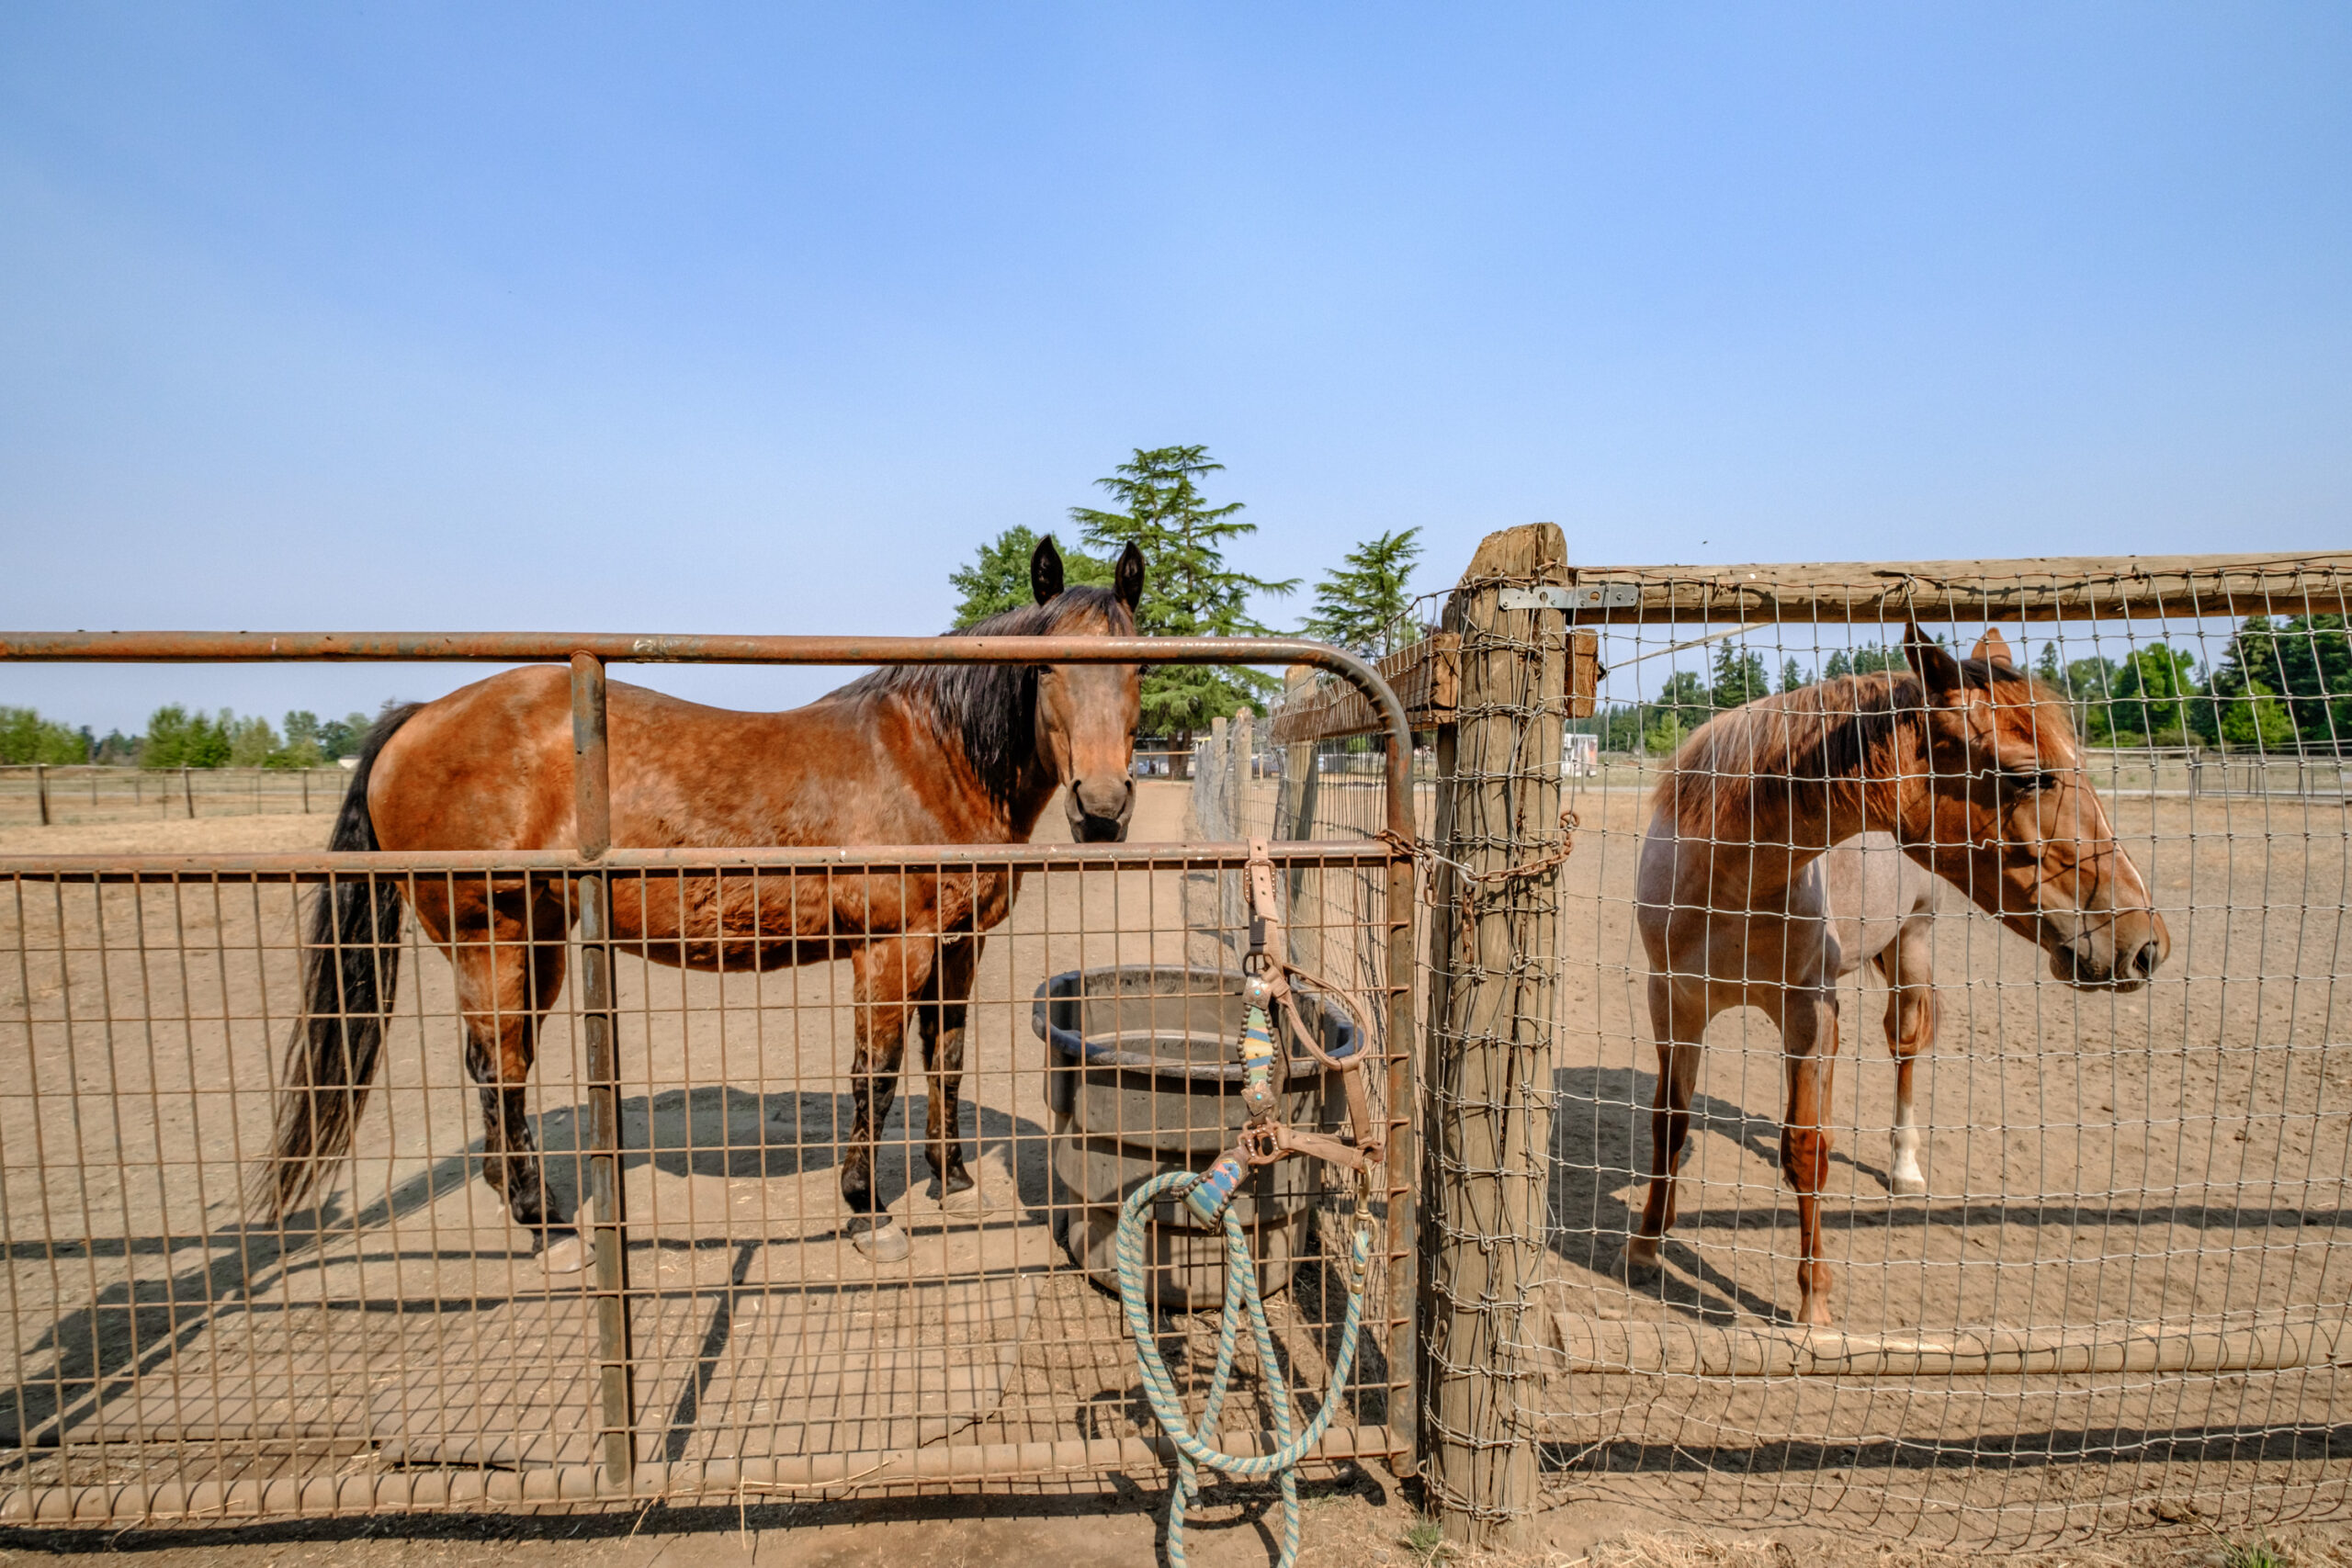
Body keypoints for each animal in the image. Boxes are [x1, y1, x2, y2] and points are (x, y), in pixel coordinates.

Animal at [254, 536, 1144, 1264]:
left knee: (500, 1065)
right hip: (492, 935)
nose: (1102, 807)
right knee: (497, 1067)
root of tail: (414, 719)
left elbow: (945, 1058)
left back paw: (523, 1200)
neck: (927, 755)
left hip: (537, 939)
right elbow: (877, 1075)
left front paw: (950, 1176)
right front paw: (868, 1212)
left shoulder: (959, 941)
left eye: (1138, 666)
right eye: (1049, 668)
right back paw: (548, 1225)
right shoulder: (892, 948)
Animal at [1625, 625, 2169, 1327]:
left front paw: (1814, 1302)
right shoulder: (1675, 1001)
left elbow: (1807, 1148)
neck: (1730, 881)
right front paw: (1646, 1242)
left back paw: (1905, 1167)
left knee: (1903, 1050)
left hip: (1910, 948)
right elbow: (1670, 1123)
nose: (2145, 945)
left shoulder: (1806, 1006)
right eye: (2030, 776)